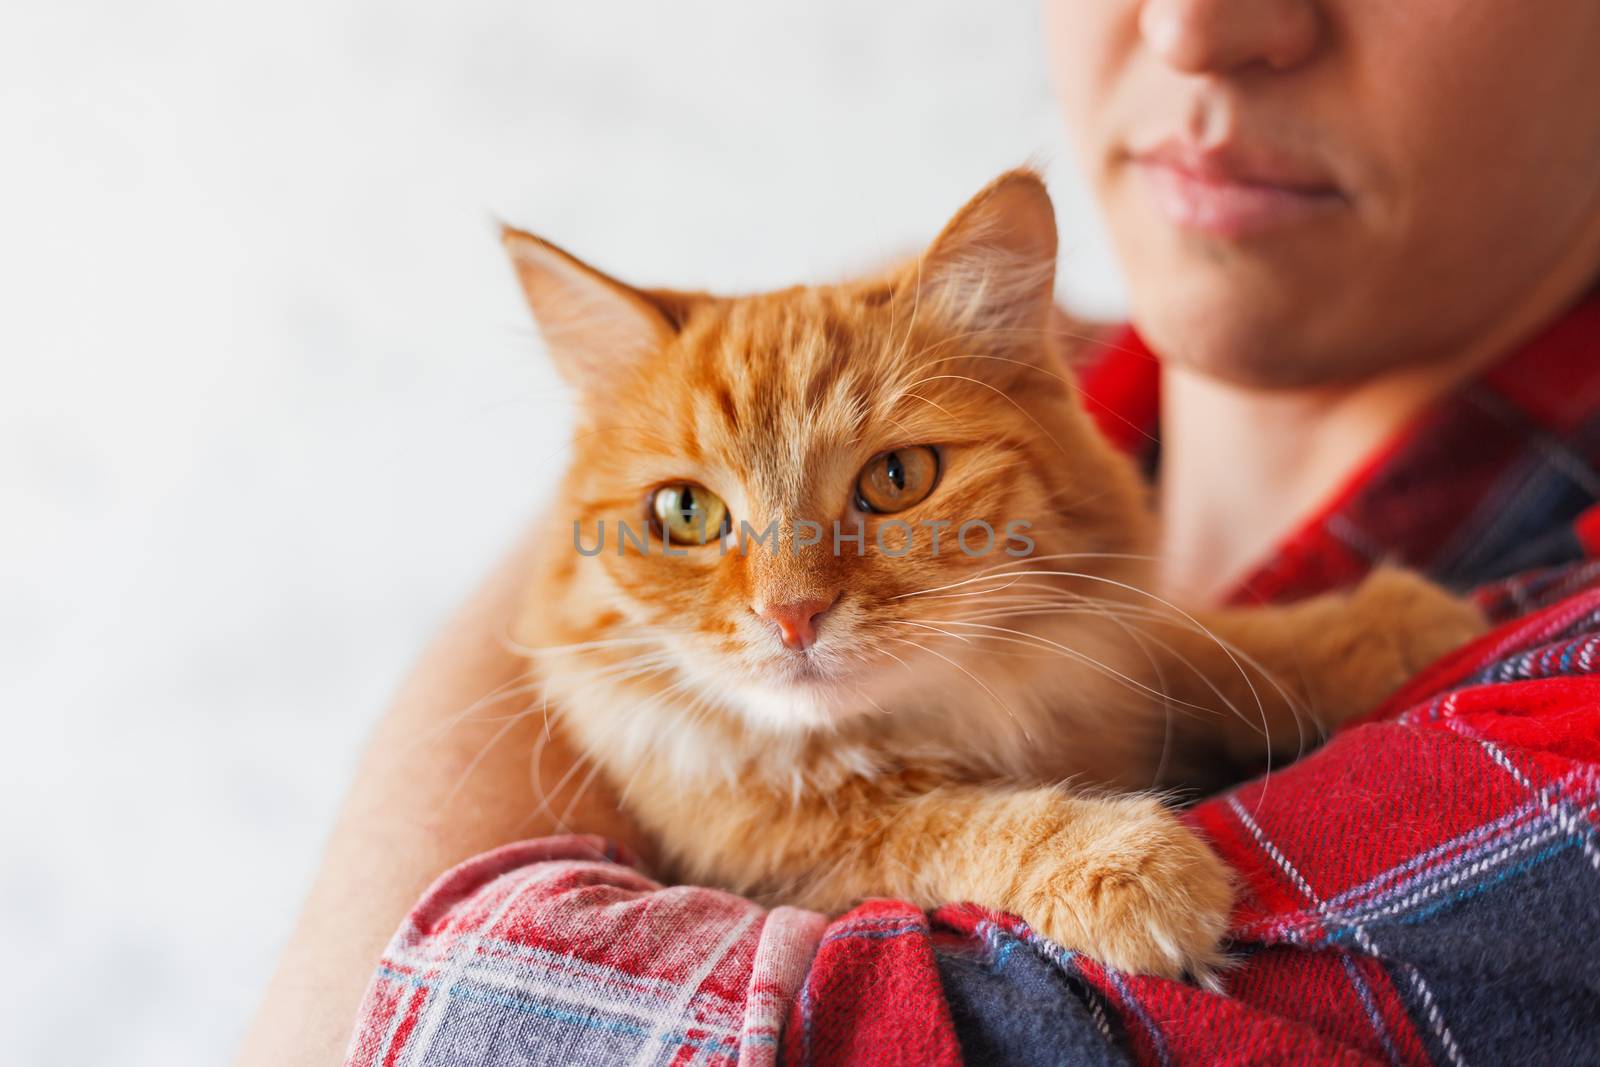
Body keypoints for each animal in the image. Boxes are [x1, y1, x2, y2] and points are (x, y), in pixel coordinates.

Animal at [502, 171, 1484, 979]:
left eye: (898, 478)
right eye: (686, 513)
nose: (793, 614)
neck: (943, 716)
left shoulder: (1108, 653)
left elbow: (1200, 647)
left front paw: (1393, 627)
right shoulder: (787, 858)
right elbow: (949, 822)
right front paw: (1122, 864)